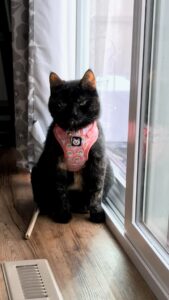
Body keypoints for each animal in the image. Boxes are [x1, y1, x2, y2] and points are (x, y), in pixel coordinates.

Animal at [31, 68, 113, 223]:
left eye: (81, 102)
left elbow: (97, 189)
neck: (76, 134)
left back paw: (83, 207)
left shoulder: (98, 161)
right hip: (37, 171)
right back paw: (50, 209)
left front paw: (96, 212)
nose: (73, 113)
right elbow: (60, 192)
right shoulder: (58, 164)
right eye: (61, 104)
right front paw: (63, 213)